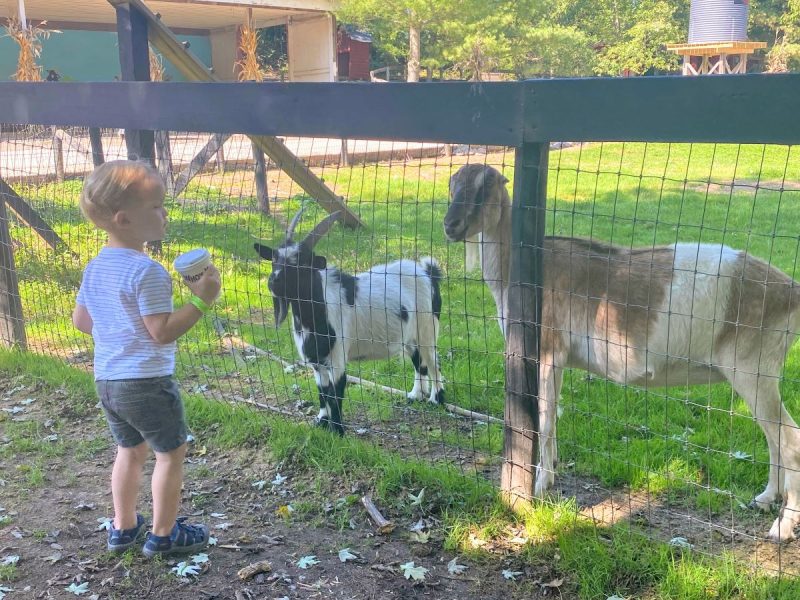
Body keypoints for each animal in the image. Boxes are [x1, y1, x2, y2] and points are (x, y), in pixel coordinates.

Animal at [255, 211, 444, 436]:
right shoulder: (316, 362)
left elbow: (335, 393)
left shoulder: (337, 357)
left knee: (432, 361)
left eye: (302, 263)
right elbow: (322, 392)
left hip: (427, 328)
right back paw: (416, 395)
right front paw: (321, 422)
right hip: (409, 335)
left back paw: (436, 399)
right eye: (274, 258)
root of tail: (428, 273)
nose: (273, 281)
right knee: (418, 361)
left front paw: (337, 432)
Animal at [444, 164, 800, 544]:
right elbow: (554, 414)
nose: (450, 225)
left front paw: (539, 489)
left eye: (486, 187)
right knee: (773, 436)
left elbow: (545, 417)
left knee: (788, 438)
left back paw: (781, 527)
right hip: (759, 374)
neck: (525, 270)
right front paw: (550, 477)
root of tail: (790, 291)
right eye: (452, 185)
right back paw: (765, 498)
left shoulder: (548, 350)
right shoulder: (560, 360)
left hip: (751, 368)